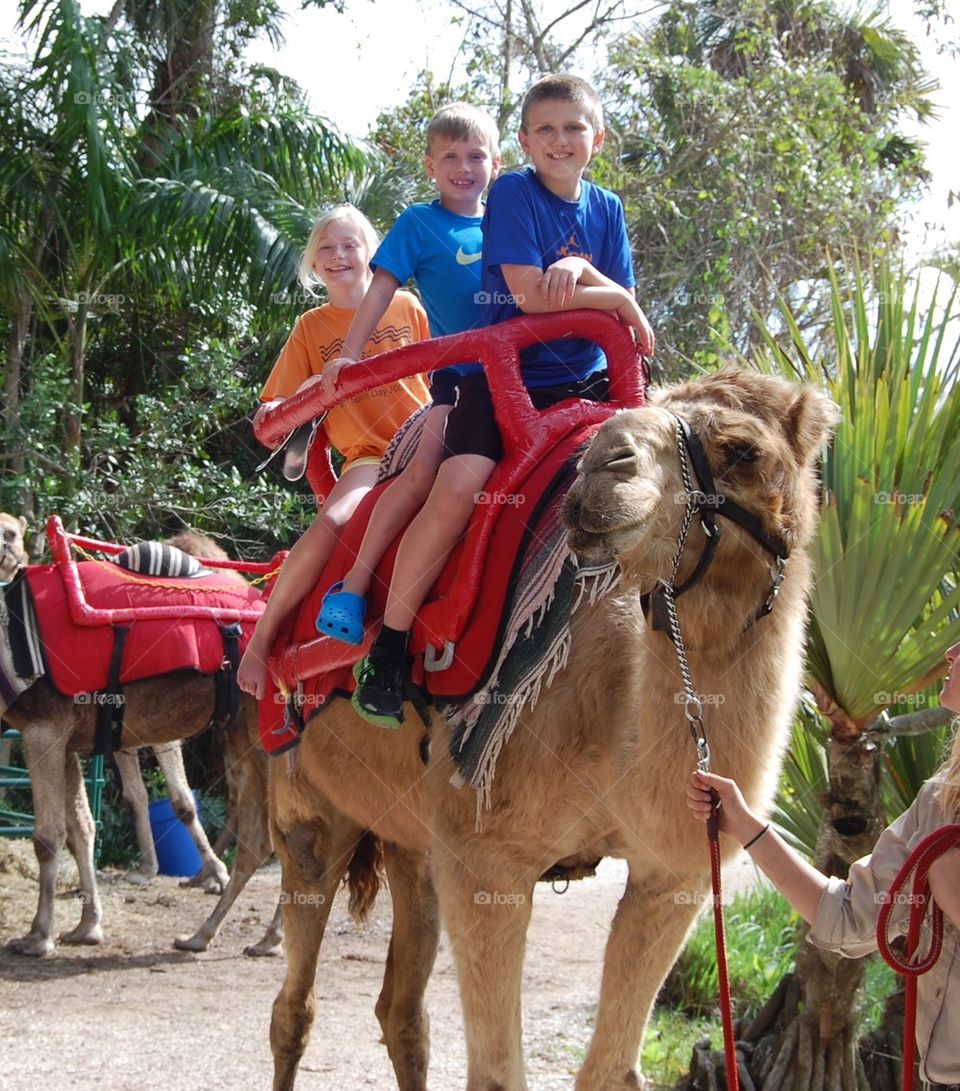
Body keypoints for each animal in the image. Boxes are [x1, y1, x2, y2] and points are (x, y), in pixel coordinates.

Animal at [265, 365, 837, 1091]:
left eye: (743, 450)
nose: (602, 465)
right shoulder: (487, 856)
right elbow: (498, 1073)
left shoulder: (672, 876)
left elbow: (611, 1069)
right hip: (306, 807)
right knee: (295, 1002)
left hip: (409, 837)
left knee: (401, 1009)